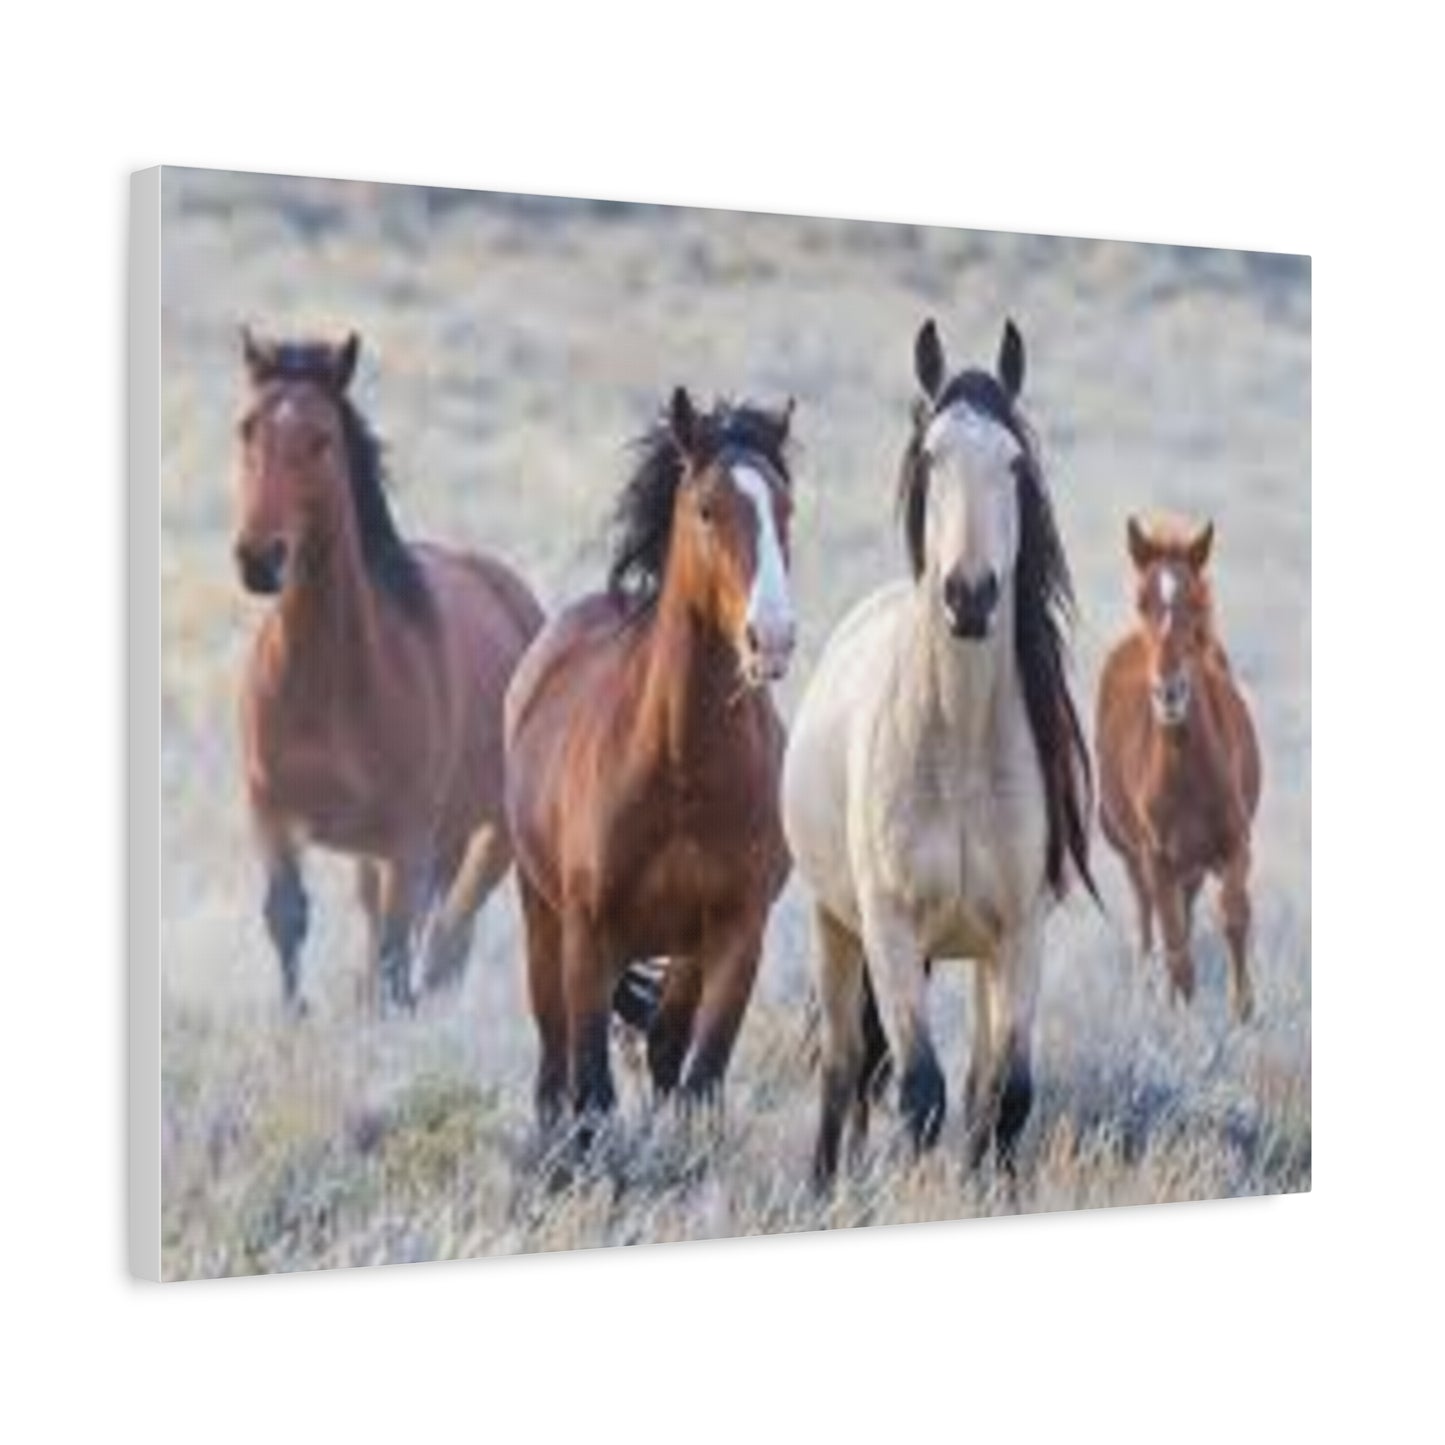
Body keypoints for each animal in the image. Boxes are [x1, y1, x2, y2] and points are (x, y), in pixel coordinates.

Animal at [232, 329, 543, 1013]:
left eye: (321, 438)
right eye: (246, 429)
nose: (259, 560)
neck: (325, 685)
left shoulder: (407, 840)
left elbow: (403, 952)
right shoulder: (271, 815)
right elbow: (287, 918)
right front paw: (294, 1018)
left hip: (487, 836)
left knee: (447, 941)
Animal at [504, 387, 797, 1132]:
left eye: (786, 508)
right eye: (706, 509)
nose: (773, 637)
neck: (681, 770)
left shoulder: (736, 932)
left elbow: (699, 1076)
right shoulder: (588, 932)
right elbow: (591, 1091)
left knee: (665, 1045)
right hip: (543, 918)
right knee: (553, 1063)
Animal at [782, 317, 1094, 1186]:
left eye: (1014, 463)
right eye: (930, 456)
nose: (969, 594)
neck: (956, 750)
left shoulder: (1019, 934)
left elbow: (1005, 1095)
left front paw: (989, 1190)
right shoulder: (888, 931)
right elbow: (919, 1092)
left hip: (979, 958)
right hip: (835, 926)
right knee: (844, 1067)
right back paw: (825, 1187)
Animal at [1095, 516, 1261, 1022]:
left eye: (1196, 602)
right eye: (1142, 601)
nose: (1169, 692)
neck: (1187, 772)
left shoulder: (1234, 842)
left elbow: (1233, 915)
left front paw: (1244, 1012)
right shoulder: (1157, 857)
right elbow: (1174, 947)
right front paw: (1182, 1022)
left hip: (1193, 864)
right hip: (1136, 857)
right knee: (1149, 925)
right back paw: (1150, 995)